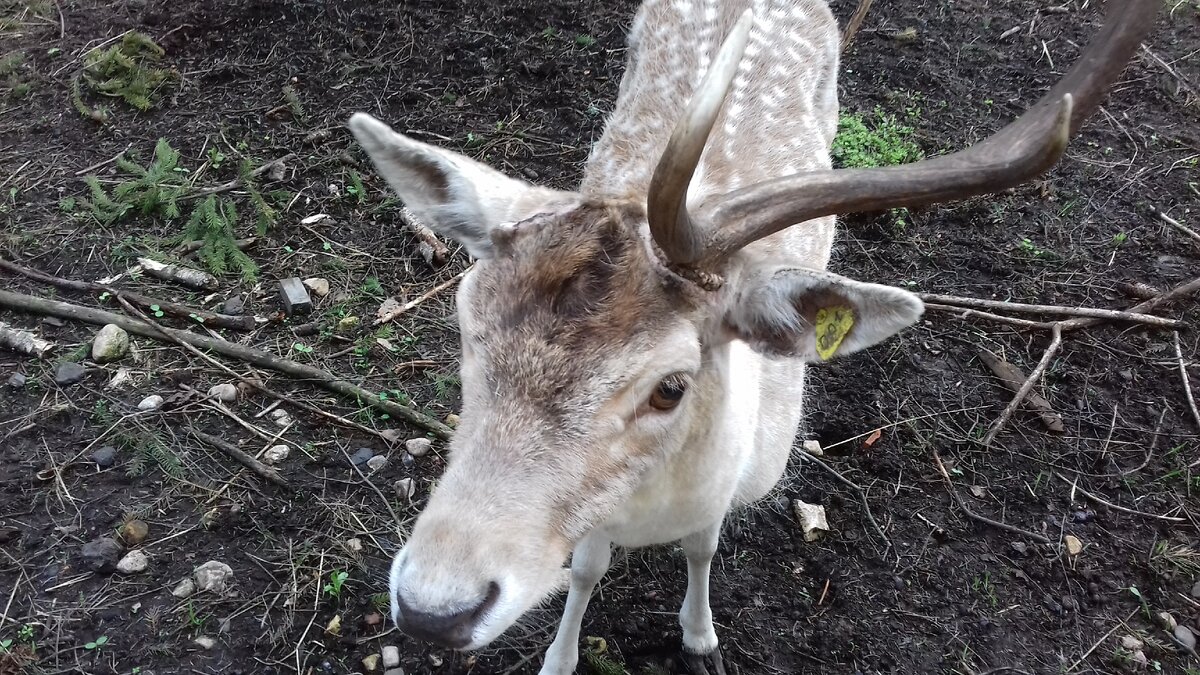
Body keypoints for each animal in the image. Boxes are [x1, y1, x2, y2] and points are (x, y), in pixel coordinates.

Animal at [345, 1, 1152, 667]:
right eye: (466, 325)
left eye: (671, 386)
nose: (432, 609)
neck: (653, 511)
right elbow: (586, 567)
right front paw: (561, 657)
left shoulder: (730, 489)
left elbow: (704, 549)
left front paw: (701, 639)